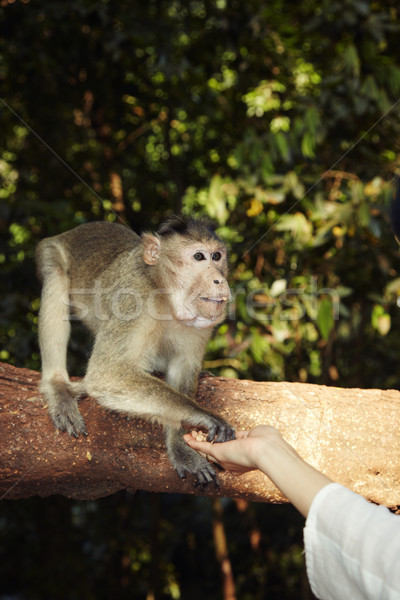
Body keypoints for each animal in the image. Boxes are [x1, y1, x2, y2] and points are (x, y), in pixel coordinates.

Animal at [36, 216, 236, 488]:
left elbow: (182, 370)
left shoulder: (201, 325)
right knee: (56, 283)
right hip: (51, 253)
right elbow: (107, 374)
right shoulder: (133, 299)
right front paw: (204, 415)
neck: (164, 294)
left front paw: (179, 443)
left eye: (217, 256)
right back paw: (57, 385)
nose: (219, 280)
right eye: (198, 257)